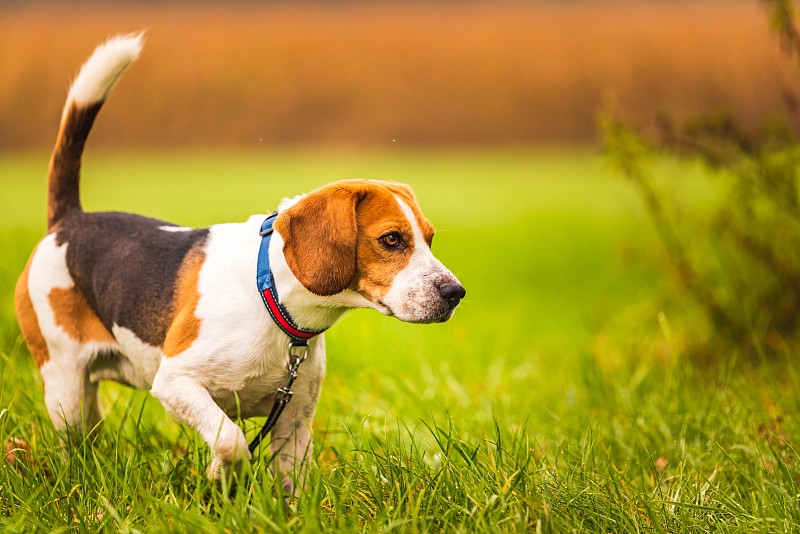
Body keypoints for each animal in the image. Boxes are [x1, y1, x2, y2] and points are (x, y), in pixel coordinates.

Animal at [12, 34, 466, 494]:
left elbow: (291, 487)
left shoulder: (293, 423)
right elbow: (231, 440)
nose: (456, 293)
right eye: (391, 239)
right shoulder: (175, 382)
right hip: (65, 386)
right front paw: (219, 475)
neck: (272, 298)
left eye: (429, 238)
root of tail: (69, 220)